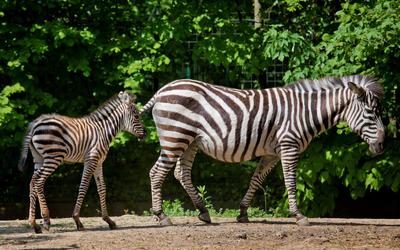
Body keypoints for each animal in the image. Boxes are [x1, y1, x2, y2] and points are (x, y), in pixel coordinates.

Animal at [19, 91, 147, 233]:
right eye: (136, 116)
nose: (146, 133)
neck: (103, 130)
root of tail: (35, 123)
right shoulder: (91, 159)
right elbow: (84, 186)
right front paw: (77, 220)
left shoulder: (99, 162)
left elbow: (102, 188)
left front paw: (108, 220)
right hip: (54, 157)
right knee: (39, 181)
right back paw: (46, 221)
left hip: (39, 158)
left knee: (33, 181)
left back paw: (34, 224)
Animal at [140, 74, 384, 227]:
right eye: (371, 113)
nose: (382, 145)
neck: (304, 112)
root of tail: (161, 90)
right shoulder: (289, 146)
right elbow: (291, 182)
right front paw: (298, 216)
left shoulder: (271, 153)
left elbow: (256, 180)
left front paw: (242, 213)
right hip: (174, 137)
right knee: (156, 173)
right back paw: (161, 216)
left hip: (190, 142)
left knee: (180, 173)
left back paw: (203, 212)